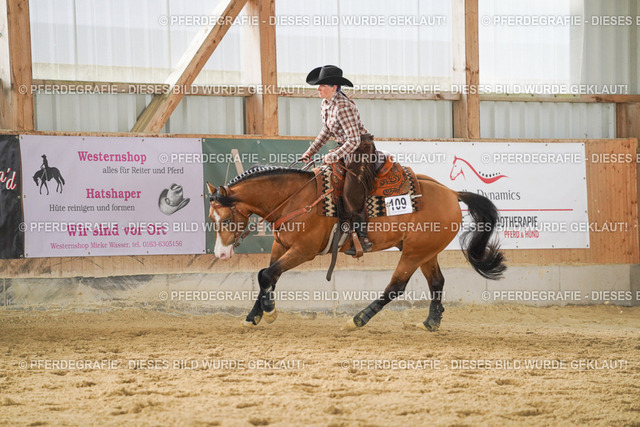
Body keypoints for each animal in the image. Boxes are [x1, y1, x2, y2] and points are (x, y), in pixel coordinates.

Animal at [207, 165, 506, 332]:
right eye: (212, 218)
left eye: (227, 219)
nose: (220, 254)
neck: (296, 199)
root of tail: (452, 193)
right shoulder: (281, 247)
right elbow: (267, 276)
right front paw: (253, 317)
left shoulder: (303, 251)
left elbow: (267, 275)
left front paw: (268, 313)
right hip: (425, 251)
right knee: (437, 282)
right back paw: (431, 323)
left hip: (414, 252)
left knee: (395, 287)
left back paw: (357, 320)